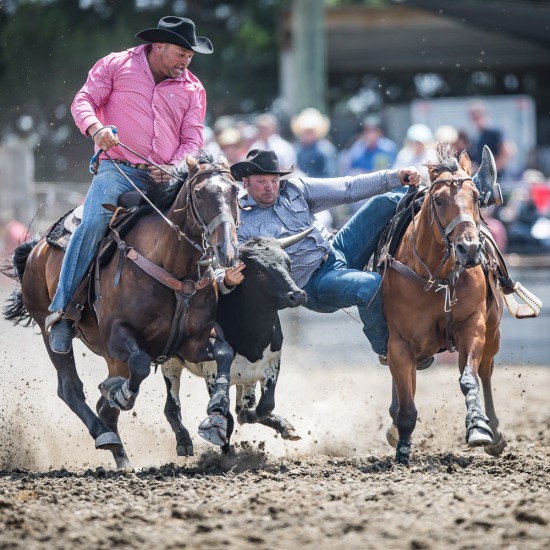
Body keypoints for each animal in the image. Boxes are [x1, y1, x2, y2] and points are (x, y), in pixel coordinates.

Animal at [3, 152, 242, 470]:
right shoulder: (118, 335)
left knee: (103, 407)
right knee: (70, 387)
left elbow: (225, 352)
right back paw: (105, 433)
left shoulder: (194, 341)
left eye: (235, 191)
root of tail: (36, 249)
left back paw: (122, 457)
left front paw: (216, 416)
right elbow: (140, 364)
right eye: (200, 193)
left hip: (111, 357)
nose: (227, 251)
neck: (172, 265)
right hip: (48, 329)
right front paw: (122, 393)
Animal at [384, 146, 508, 466]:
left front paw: (478, 426)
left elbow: (469, 379)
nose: (470, 249)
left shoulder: (472, 327)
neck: (438, 277)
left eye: (475, 197)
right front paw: (402, 446)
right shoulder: (399, 343)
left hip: (493, 331)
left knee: (485, 370)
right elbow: (406, 400)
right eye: (438, 200)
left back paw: (494, 430)